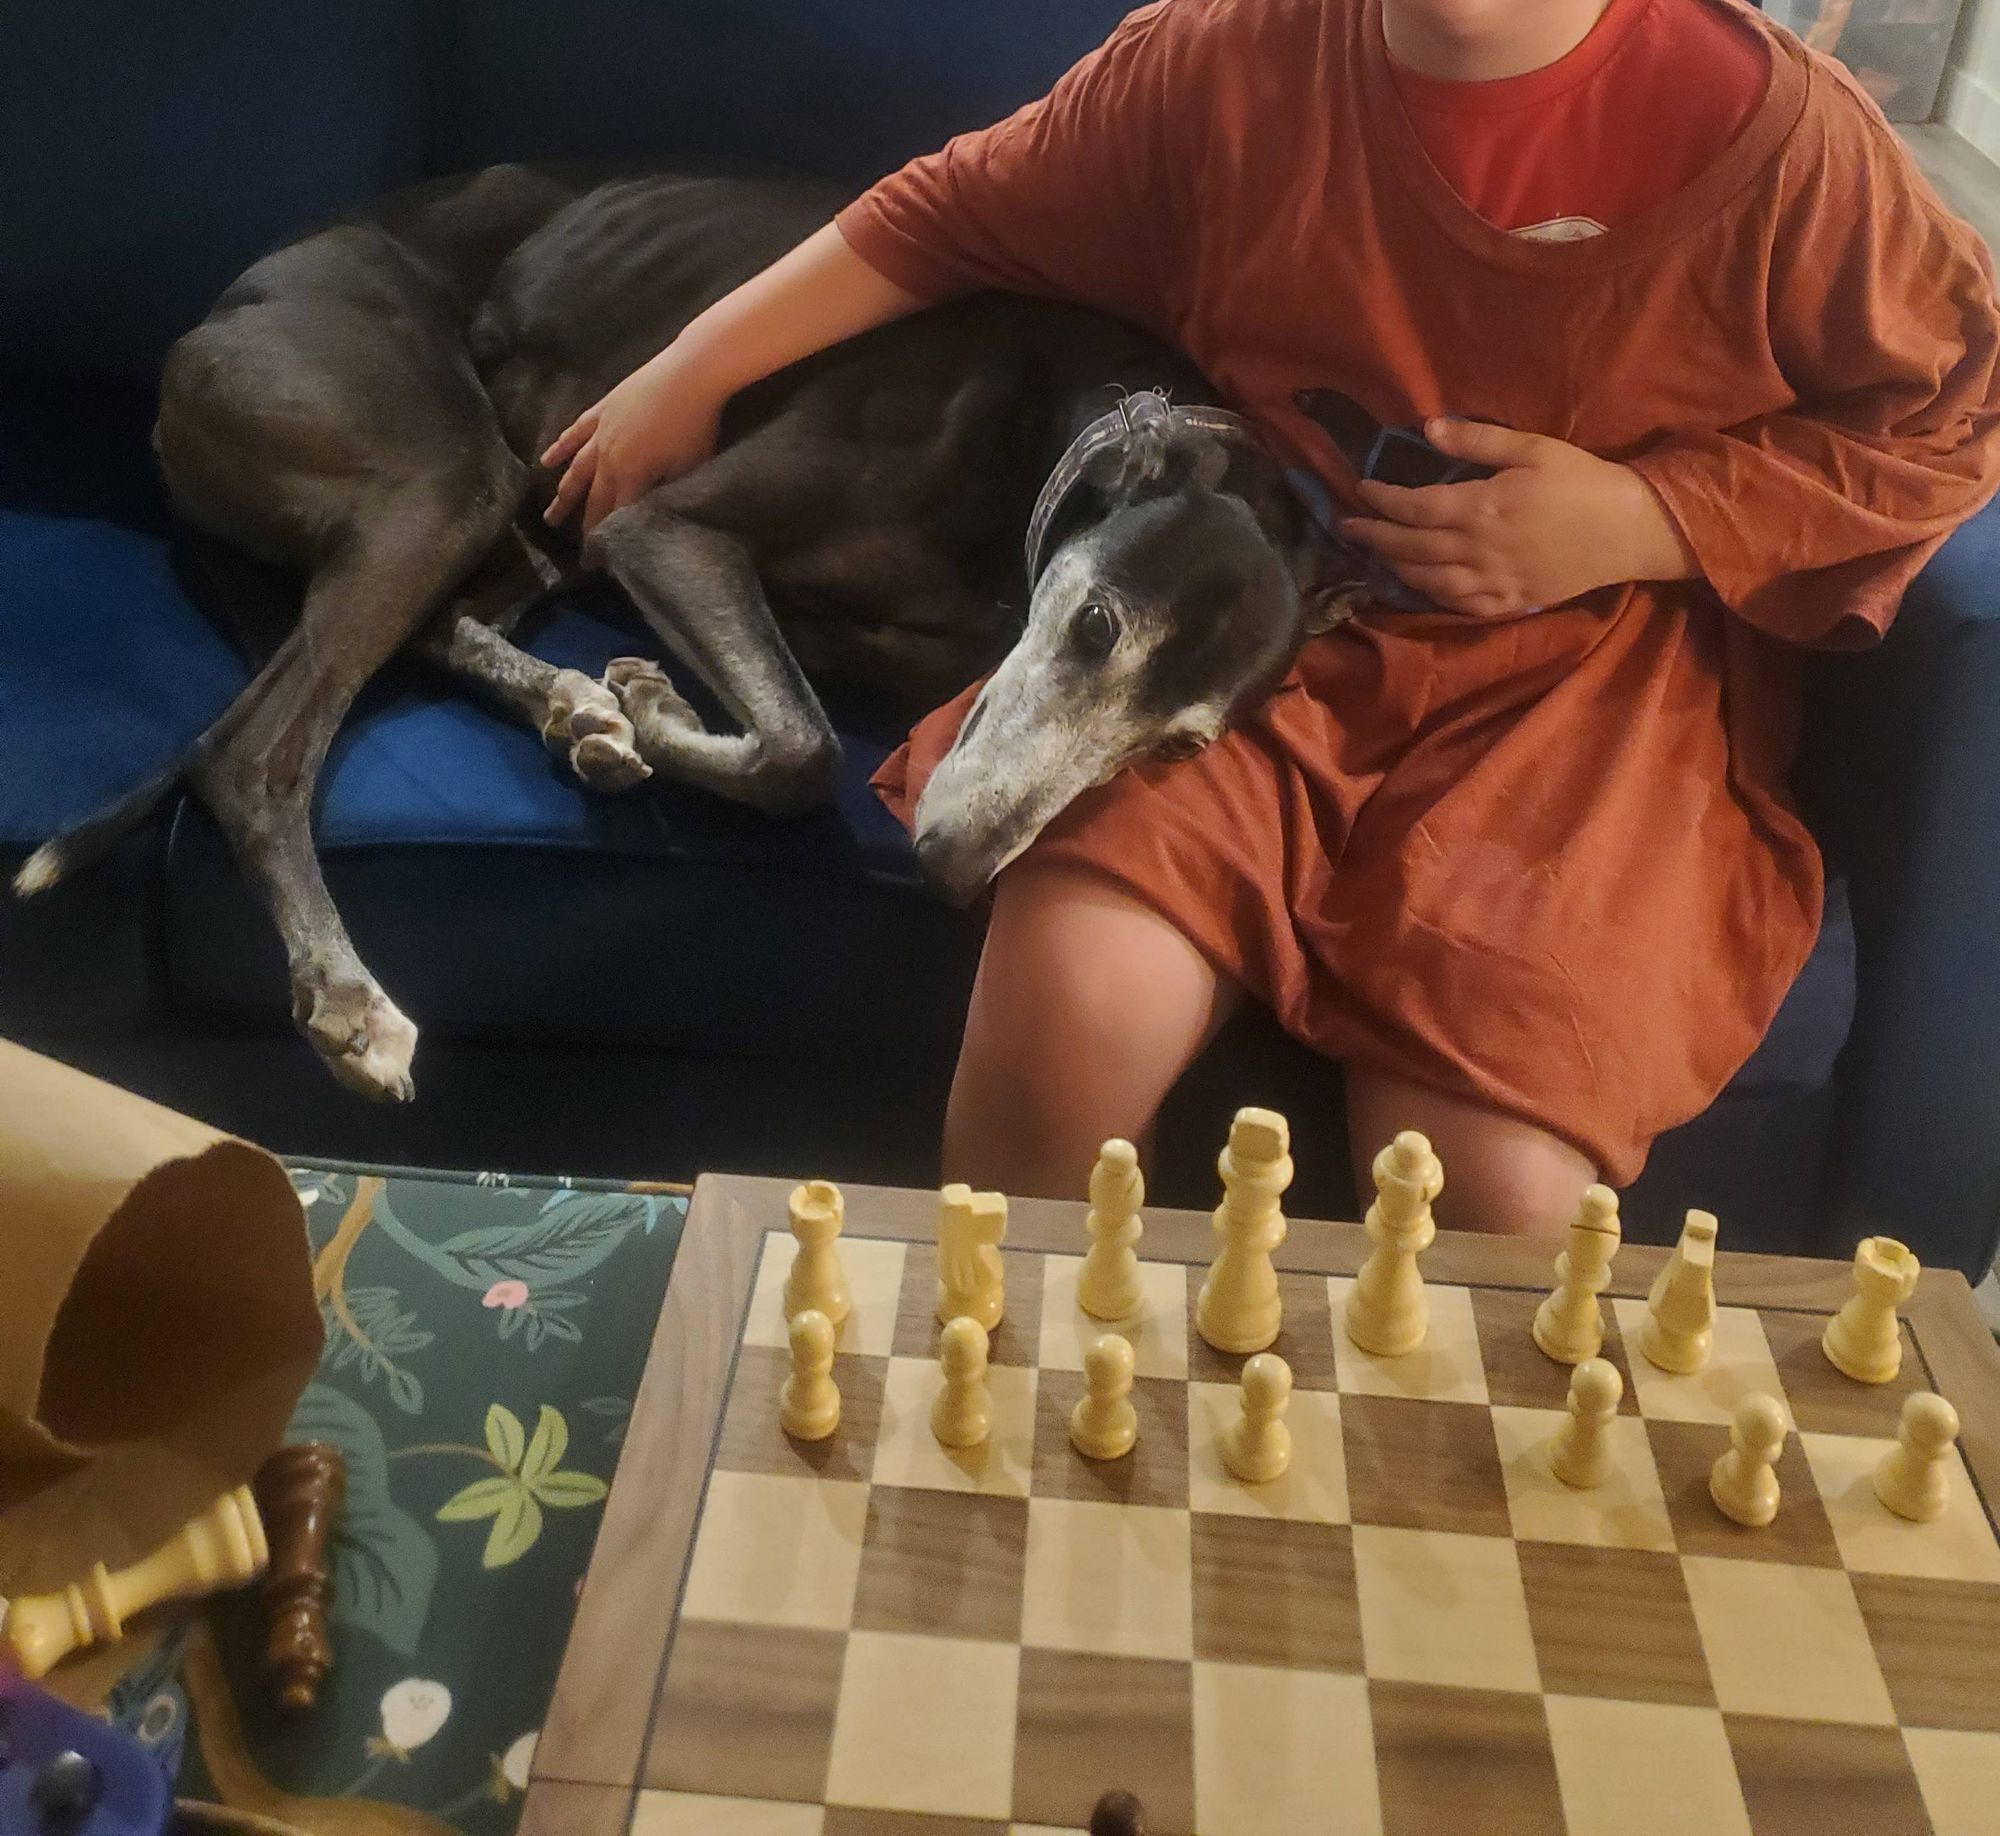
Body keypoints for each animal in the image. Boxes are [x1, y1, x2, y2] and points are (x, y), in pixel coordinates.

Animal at [11, 165, 1344, 1096]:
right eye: (1096, 624)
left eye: (1178, 749)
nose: (954, 870)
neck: (1042, 443)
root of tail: (218, 312)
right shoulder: (660, 527)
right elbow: (802, 749)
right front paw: (658, 710)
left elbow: (800, 720)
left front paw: (636, 710)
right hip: (438, 475)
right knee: (250, 749)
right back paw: (347, 993)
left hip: (513, 516)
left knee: (419, 635)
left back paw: (571, 708)